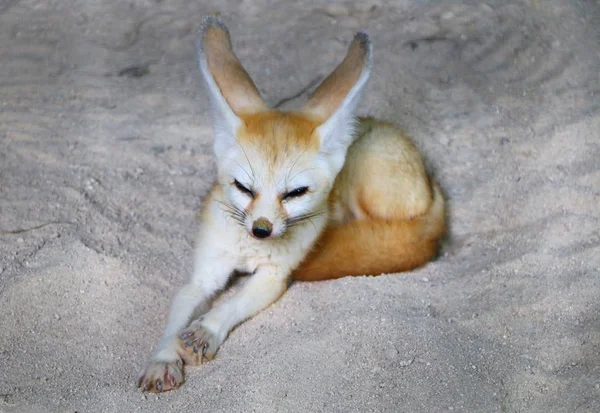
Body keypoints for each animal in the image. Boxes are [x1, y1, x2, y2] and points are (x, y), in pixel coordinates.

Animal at [137, 16, 446, 392]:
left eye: (295, 193)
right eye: (243, 187)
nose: (261, 230)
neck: (247, 250)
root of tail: (431, 183)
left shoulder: (273, 276)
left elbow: (233, 304)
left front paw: (207, 329)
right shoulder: (202, 276)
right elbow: (177, 314)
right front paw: (163, 359)